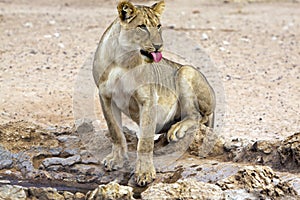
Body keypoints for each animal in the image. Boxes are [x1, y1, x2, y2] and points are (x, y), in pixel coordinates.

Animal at [92, 0, 214, 187]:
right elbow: (115, 131)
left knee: (198, 116)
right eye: (142, 27)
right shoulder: (106, 96)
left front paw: (144, 172)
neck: (123, 59)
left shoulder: (148, 98)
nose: (158, 46)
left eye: (158, 26)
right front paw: (116, 160)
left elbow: (145, 141)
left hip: (185, 71)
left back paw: (176, 129)